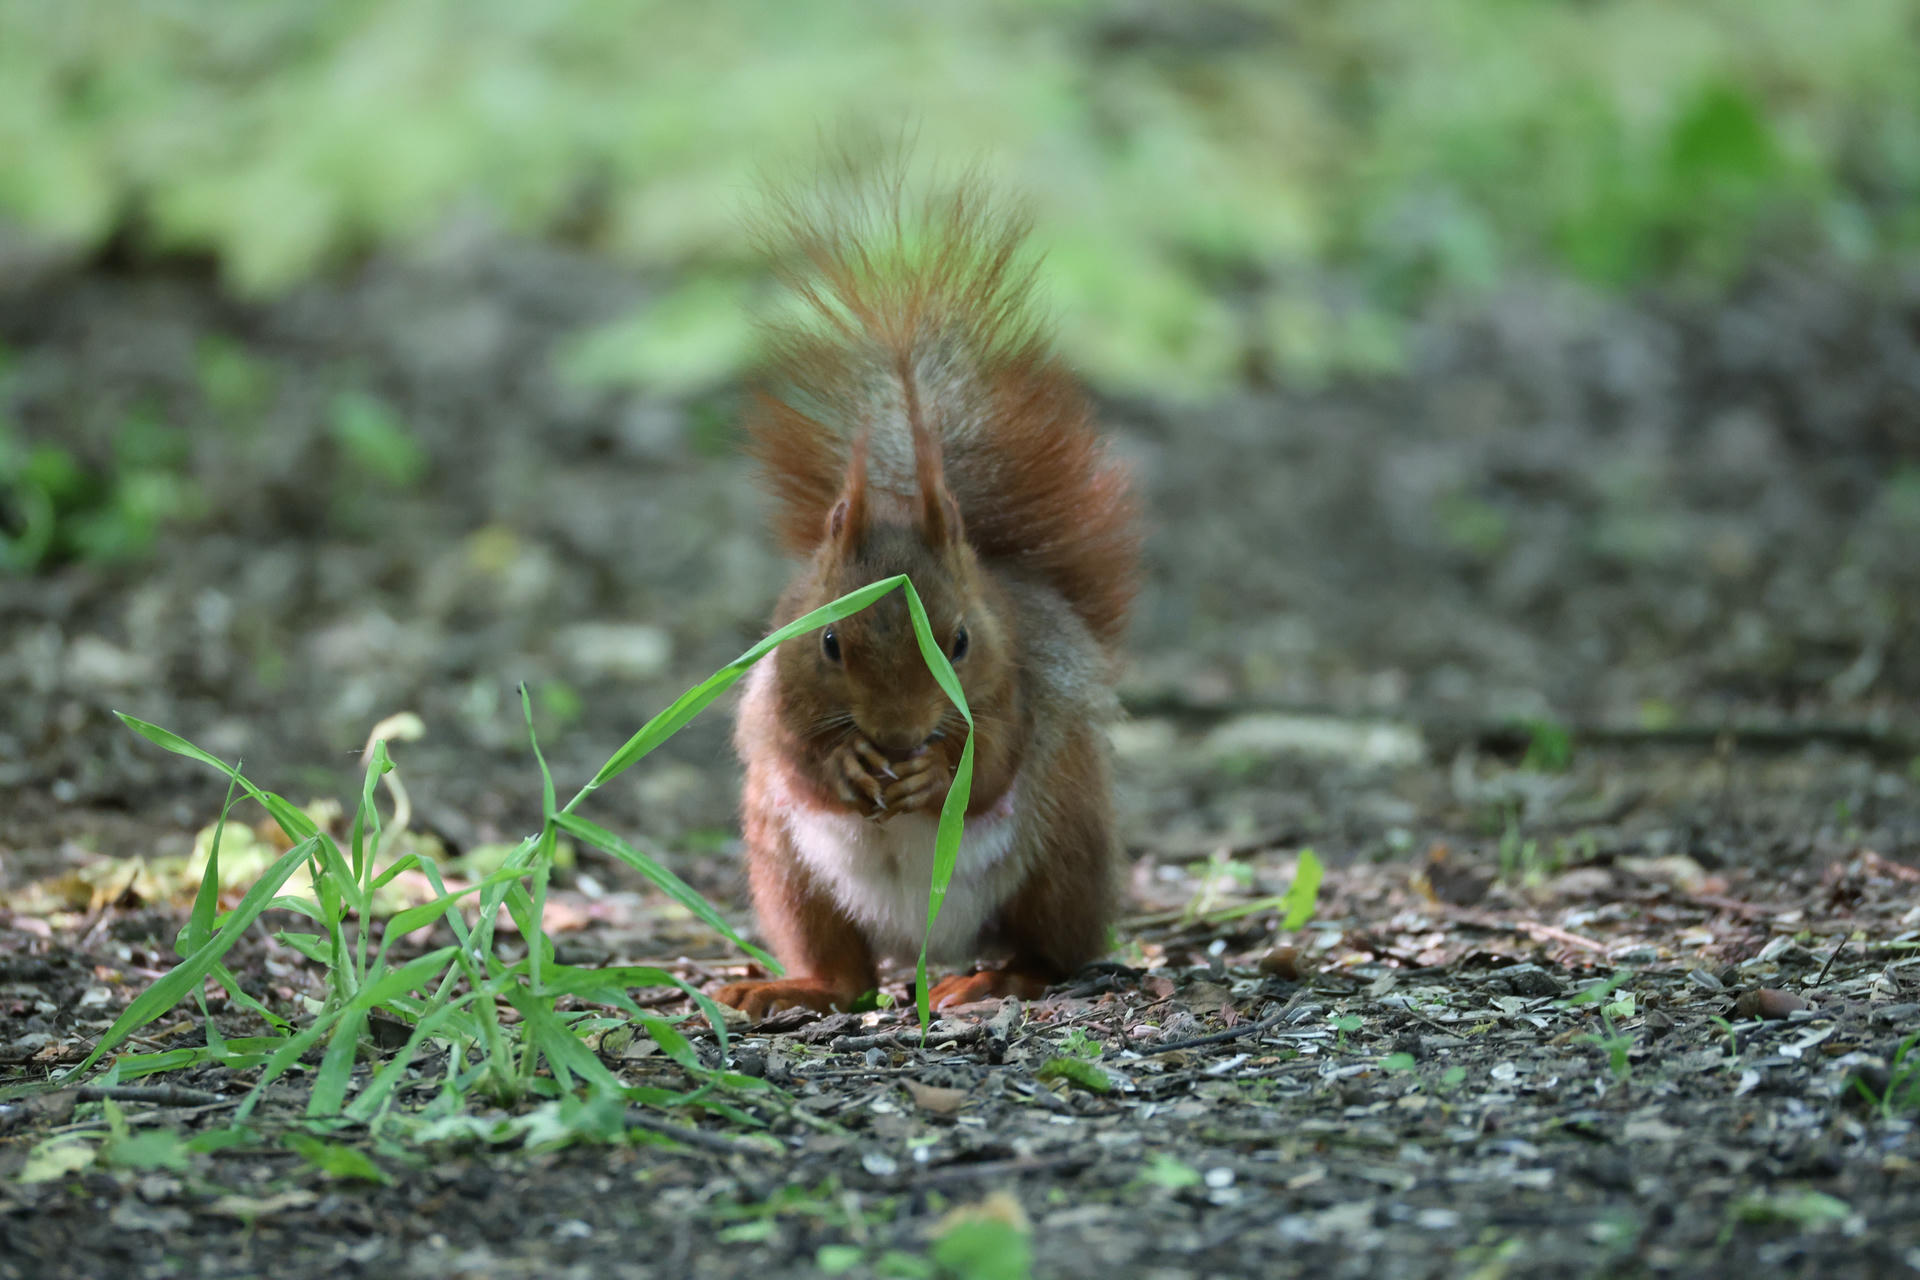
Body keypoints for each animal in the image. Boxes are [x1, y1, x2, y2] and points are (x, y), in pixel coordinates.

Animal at [713, 170, 1141, 1019]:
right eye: (829, 641)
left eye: (962, 641)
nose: (899, 733)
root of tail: (924, 946)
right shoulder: (777, 692)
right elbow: (794, 751)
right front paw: (846, 763)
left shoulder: (1014, 688)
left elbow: (992, 763)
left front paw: (935, 775)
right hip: (786, 871)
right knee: (844, 975)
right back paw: (788, 986)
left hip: (1063, 849)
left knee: (1054, 953)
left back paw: (996, 978)